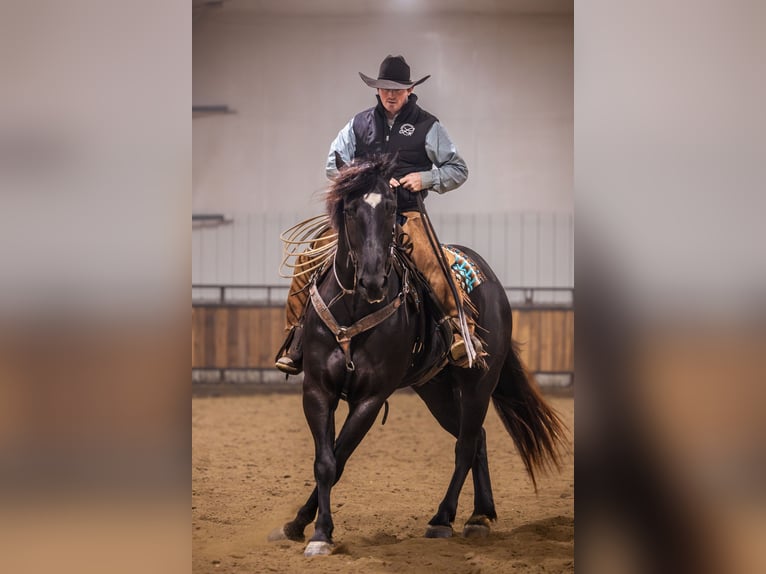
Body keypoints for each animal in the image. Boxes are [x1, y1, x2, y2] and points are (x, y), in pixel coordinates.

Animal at [270, 155, 567, 557]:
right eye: (349, 209)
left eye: (391, 207)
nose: (374, 280)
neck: (354, 308)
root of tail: (490, 280)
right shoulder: (317, 389)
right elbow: (325, 460)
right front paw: (301, 525)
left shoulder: (370, 398)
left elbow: (339, 459)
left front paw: (321, 534)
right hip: (435, 390)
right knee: (477, 438)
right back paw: (480, 515)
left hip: (478, 384)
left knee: (465, 444)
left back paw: (444, 518)